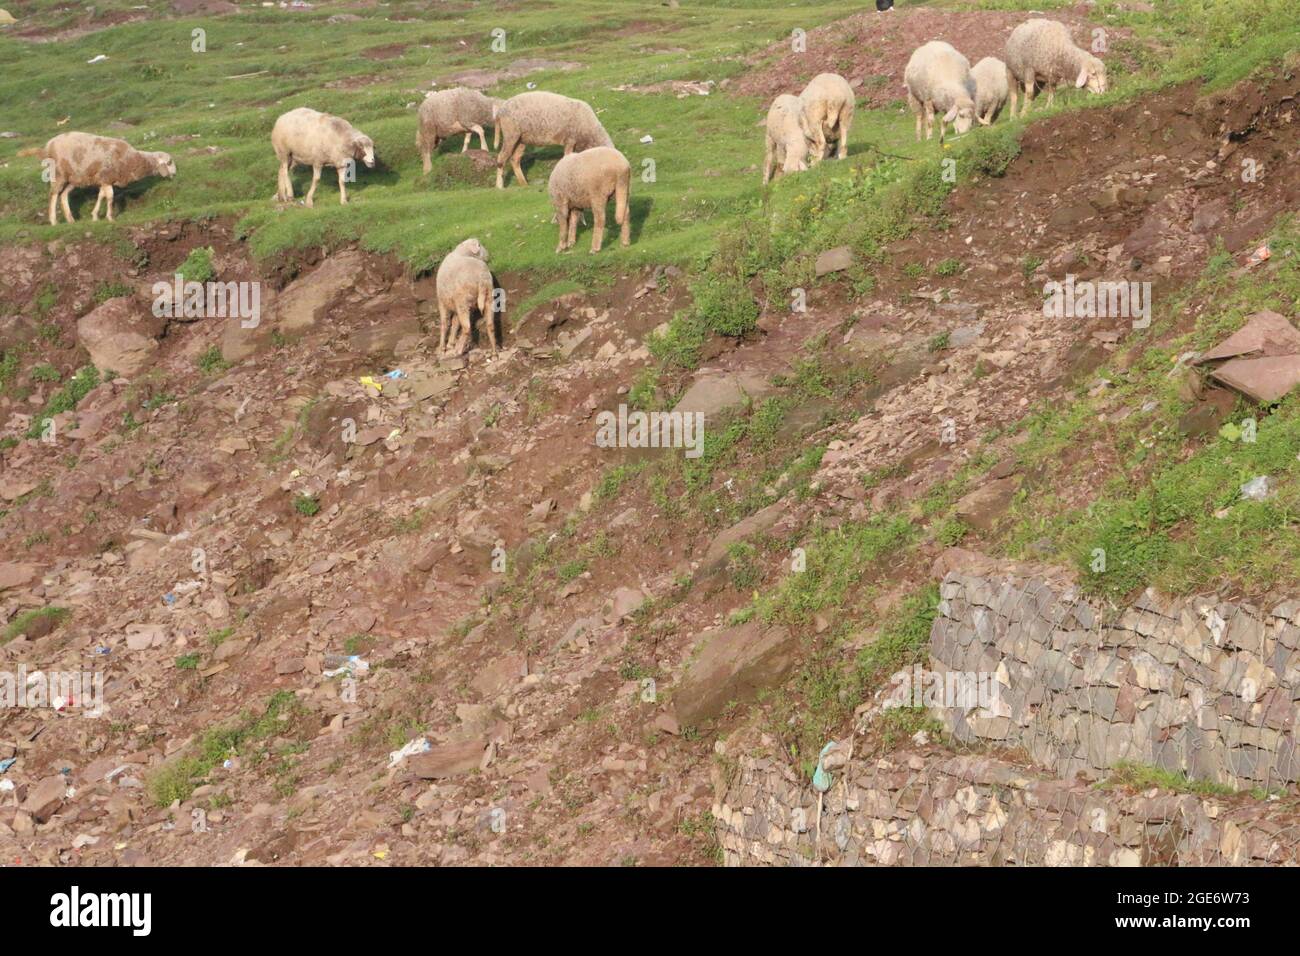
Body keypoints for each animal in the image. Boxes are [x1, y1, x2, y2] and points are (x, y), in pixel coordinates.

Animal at [39, 132, 175, 226]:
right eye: (169, 163)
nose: (174, 173)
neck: (132, 159)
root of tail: (49, 144)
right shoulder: (107, 177)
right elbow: (109, 197)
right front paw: (110, 217)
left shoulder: (104, 180)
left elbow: (101, 196)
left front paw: (95, 216)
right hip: (59, 174)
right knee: (53, 194)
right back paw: (53, 221)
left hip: (74, 178)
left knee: (63, 195)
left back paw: (70, 219)